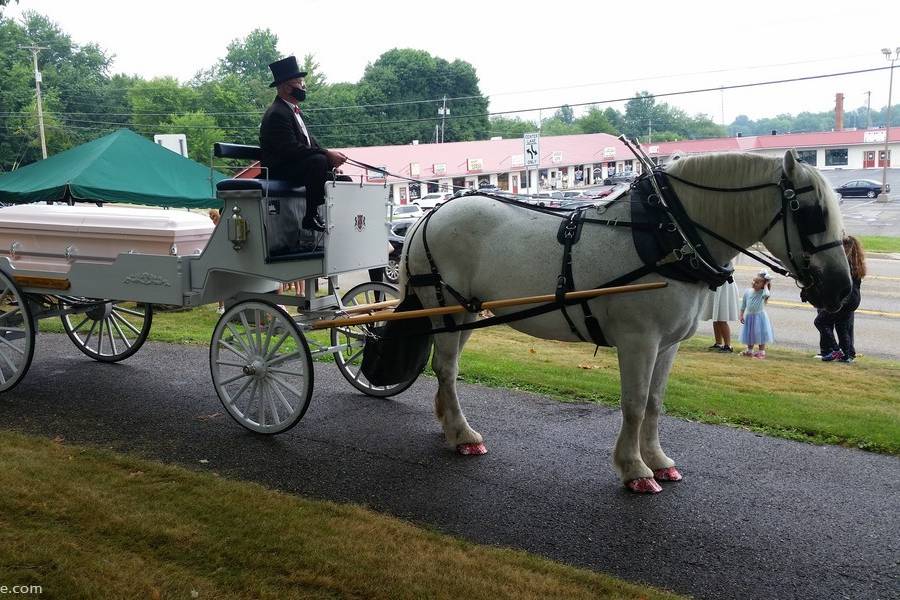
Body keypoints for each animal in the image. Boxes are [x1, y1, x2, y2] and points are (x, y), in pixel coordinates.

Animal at [400, 152, 852, 494]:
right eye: (813, 213)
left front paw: (659, 461)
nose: (842, 289)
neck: (668, 235)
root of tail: (429, 215)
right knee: (447, 369)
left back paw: (449, 424)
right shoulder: (639, 340)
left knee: (447, 369)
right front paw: (635, 469)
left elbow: (654, 402)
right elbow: (633, 404)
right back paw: (463, 435)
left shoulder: (667, 344)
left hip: (467, 312)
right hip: (446, 308)